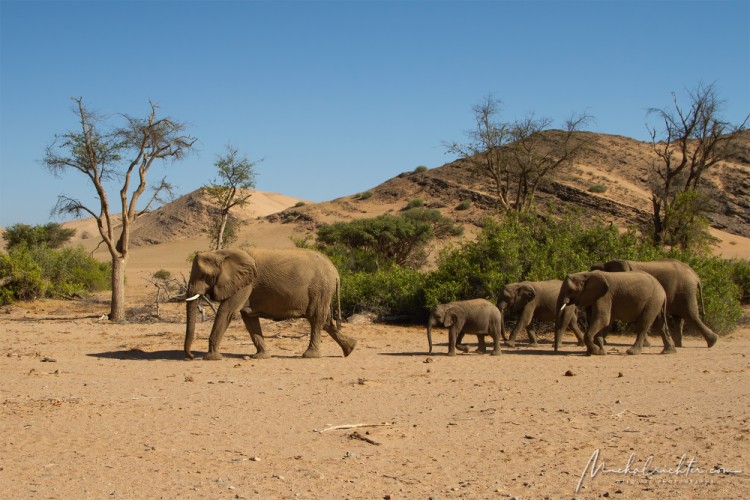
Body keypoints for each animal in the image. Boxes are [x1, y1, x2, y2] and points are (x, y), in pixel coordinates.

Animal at [184, 247, 356, 360]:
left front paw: (211, 358)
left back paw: (310, 356)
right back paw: (350, 349)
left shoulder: (245, 284)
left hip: (320, 288)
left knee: (315, 317)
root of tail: (336, 272)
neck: (221, 253)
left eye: (204, 276)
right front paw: (261, 356)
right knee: (325, 320)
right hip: (323, 290)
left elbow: (227, 312)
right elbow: (249, 317)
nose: (191, 356)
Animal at [592, 258, 720, 348]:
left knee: (690, 315)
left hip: (686, 290)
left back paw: (712, 342)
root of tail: (696, 276)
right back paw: (678, 345)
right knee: (679, 317)